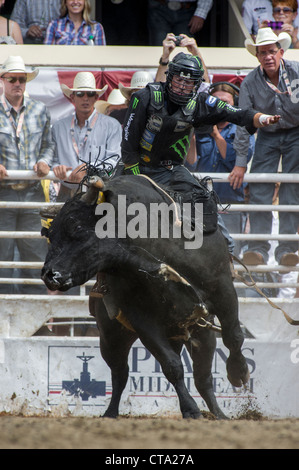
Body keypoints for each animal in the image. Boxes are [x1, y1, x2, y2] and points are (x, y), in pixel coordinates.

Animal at [41, 175, 250, 418]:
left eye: (75, 226)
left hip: (201, 333)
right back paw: (110, 412)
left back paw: (219, 414)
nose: (48, 274)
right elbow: (172, 366)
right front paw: (190, 409)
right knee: (120, 374)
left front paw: (238, 371)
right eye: (49, 233)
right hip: (111, 337)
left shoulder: (223, 290)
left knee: (203, 377)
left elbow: (233, 336)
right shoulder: (142, 319)